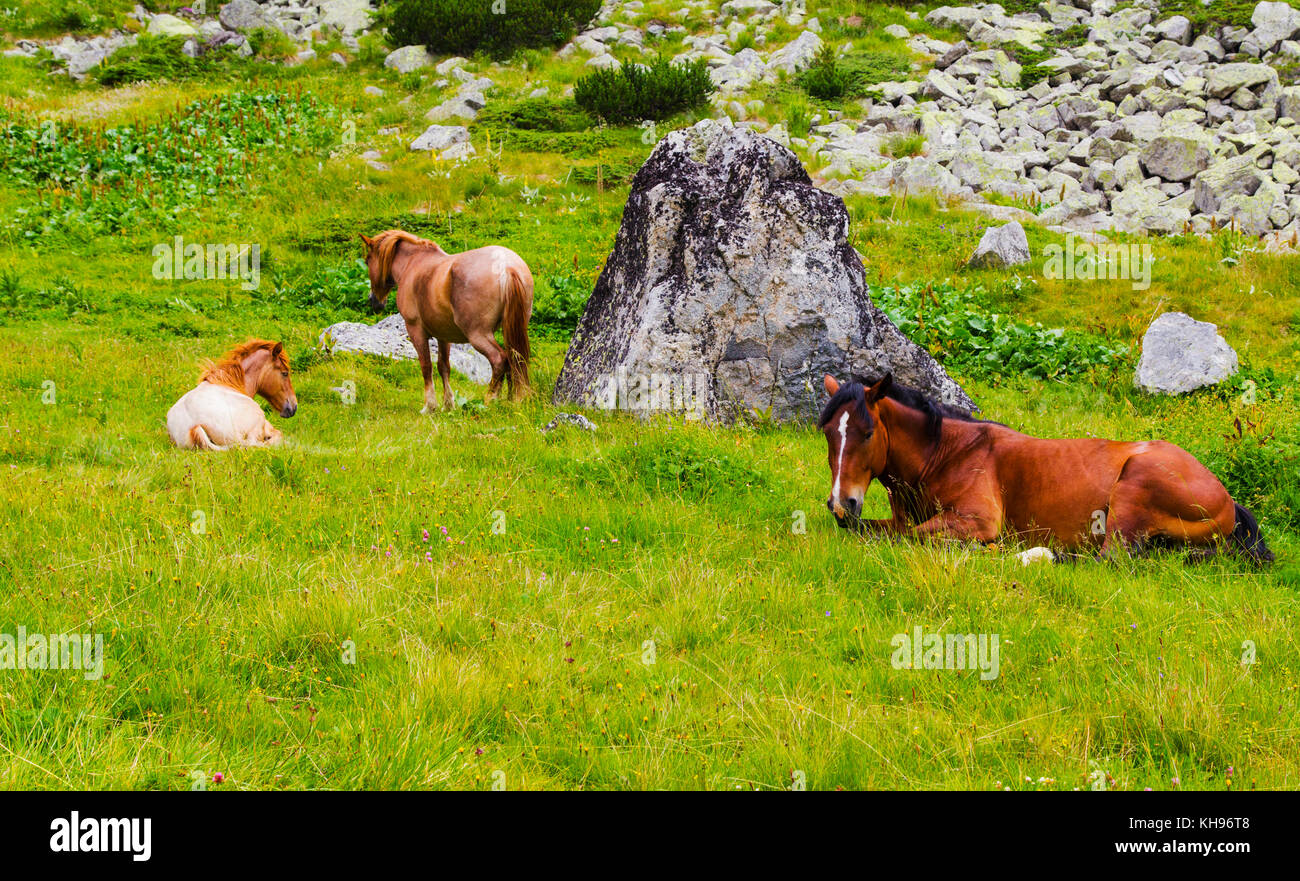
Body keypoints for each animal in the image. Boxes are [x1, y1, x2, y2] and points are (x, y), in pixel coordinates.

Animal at [359, 229, 533, 412]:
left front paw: (430, 406)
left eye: (367, 260)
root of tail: (506, 266)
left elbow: (426, 366)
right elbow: (443, 367)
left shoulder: (415, 330)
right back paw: (511, 401)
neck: (413, 263)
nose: (373, 301)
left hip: (478, 335)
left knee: (500, 360)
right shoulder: (443, 335)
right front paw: (448, 405)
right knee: (514, 360)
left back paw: (490, 400)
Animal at [818, 373, 1274, 564]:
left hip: (1133, 489)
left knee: (1109, 559)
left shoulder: (976, 521)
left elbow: (911, 538)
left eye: (867, 432)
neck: (948, 453)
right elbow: (878, 532)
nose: (842, 504)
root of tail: (1229, 502)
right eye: (827, 433)